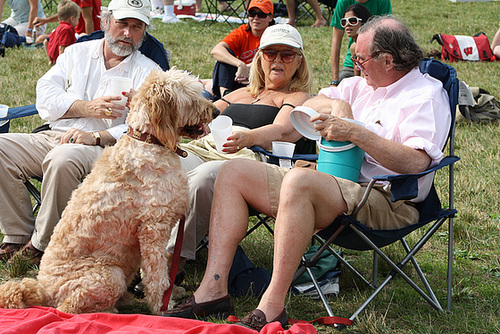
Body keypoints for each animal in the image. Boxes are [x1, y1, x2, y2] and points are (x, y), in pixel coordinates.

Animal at [0, 69, 213, 314]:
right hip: (109, 275)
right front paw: (162, 307)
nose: (216, 111)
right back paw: (110, 311)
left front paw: (173, 293)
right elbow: (156, 275)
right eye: (191, 98)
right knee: (67, 309)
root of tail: (43, 292)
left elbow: (166, 269)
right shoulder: (153, 230)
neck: (148, 142)